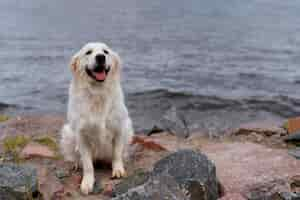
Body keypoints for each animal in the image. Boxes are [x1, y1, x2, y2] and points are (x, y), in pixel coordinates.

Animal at [60, 42, 133, 194]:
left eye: (106, 52)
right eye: (88, 52)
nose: (100, 57)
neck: (97, 93)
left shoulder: (119, 129)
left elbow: (117, 154)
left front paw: (118, 170)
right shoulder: (81, 136)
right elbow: (88, 164)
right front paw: (87, 182)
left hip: (128, 127)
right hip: (68, 132)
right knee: (76, 156)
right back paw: (76, 164)